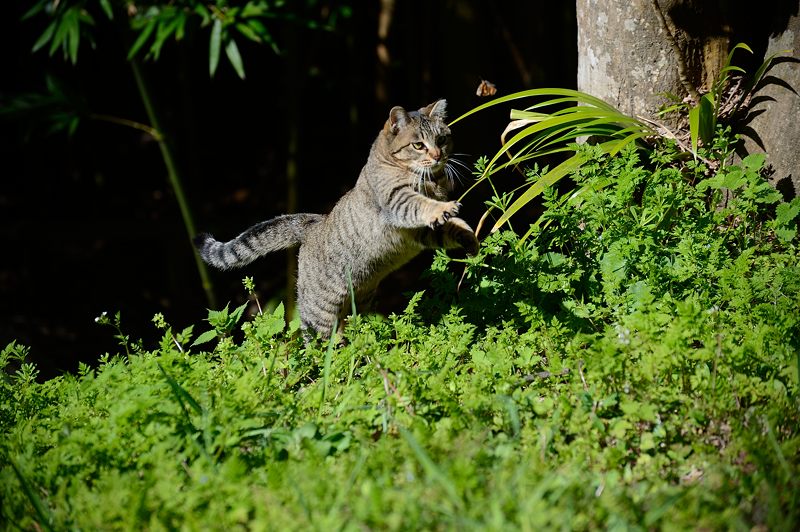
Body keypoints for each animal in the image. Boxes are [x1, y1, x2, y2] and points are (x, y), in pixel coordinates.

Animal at [195, 100, 478, 338]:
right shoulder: (397, 201)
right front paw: (444, 207)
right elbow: (423, 204)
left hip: (358, 303)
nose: (438, 156)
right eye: (418, 145)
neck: (431, 181)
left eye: (442, 139)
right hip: (318, 316)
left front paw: (469, 237)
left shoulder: (420, 232)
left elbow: (451, 229)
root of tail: (313, 224)